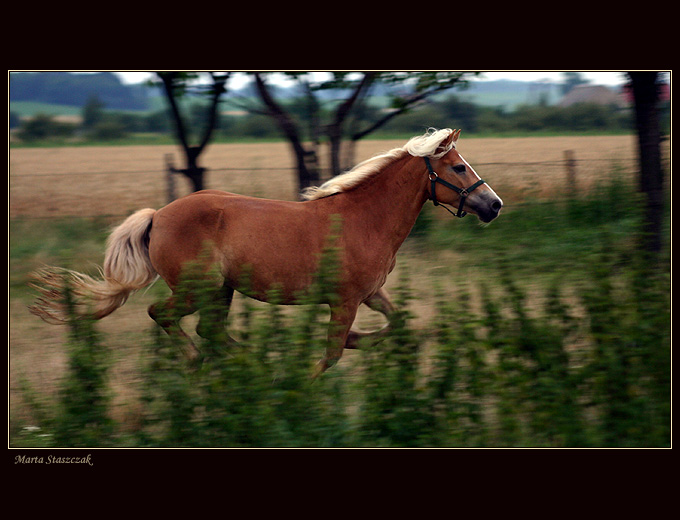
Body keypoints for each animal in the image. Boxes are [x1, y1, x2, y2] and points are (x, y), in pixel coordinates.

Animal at [29, 128, 502, 376]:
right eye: (458, 167)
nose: (494, 205)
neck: (364, 218)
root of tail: (158, 216)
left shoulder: (369, 294)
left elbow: (397, 322)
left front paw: (356, 341)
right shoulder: (345, 300)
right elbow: (331, 353)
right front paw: (306, 383)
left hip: (220, 291)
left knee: (210, 330)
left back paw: (251, 365)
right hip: (195, 289)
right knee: (162, 316)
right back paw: (206, 364)